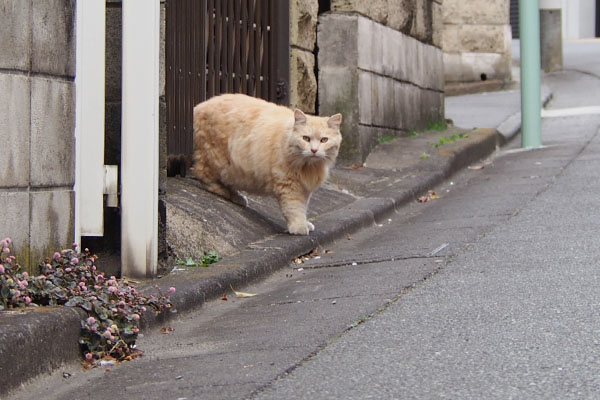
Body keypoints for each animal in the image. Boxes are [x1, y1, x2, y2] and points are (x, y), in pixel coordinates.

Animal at [192, 94, 342, 234]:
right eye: (306, 138)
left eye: (324, 140)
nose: (314, 150)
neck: (309, 165)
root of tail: (199, 106)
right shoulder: (289, 184)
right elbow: (294, 208)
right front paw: (299, 226)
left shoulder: (305, 187)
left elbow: (303, 207)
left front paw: (304, 222)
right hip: (218, 162)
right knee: (204, 176)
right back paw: (226, 193)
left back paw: (237, 197)